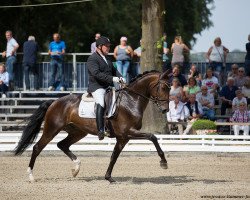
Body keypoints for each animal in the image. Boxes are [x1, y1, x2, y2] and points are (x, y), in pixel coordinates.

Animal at [14, 70, 171, 183]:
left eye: (169, 88)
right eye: (163, 87)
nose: (165, 110)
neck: (131, 100)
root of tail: (54, 101)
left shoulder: (123, 138)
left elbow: (114, 156)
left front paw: (108, 177)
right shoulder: (127, 132)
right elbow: (152, 136)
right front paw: (163, 162)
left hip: (78, 132)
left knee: (62, 145)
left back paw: (76, 168)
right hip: (51, 129)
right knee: (37, 147)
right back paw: (31, 176)